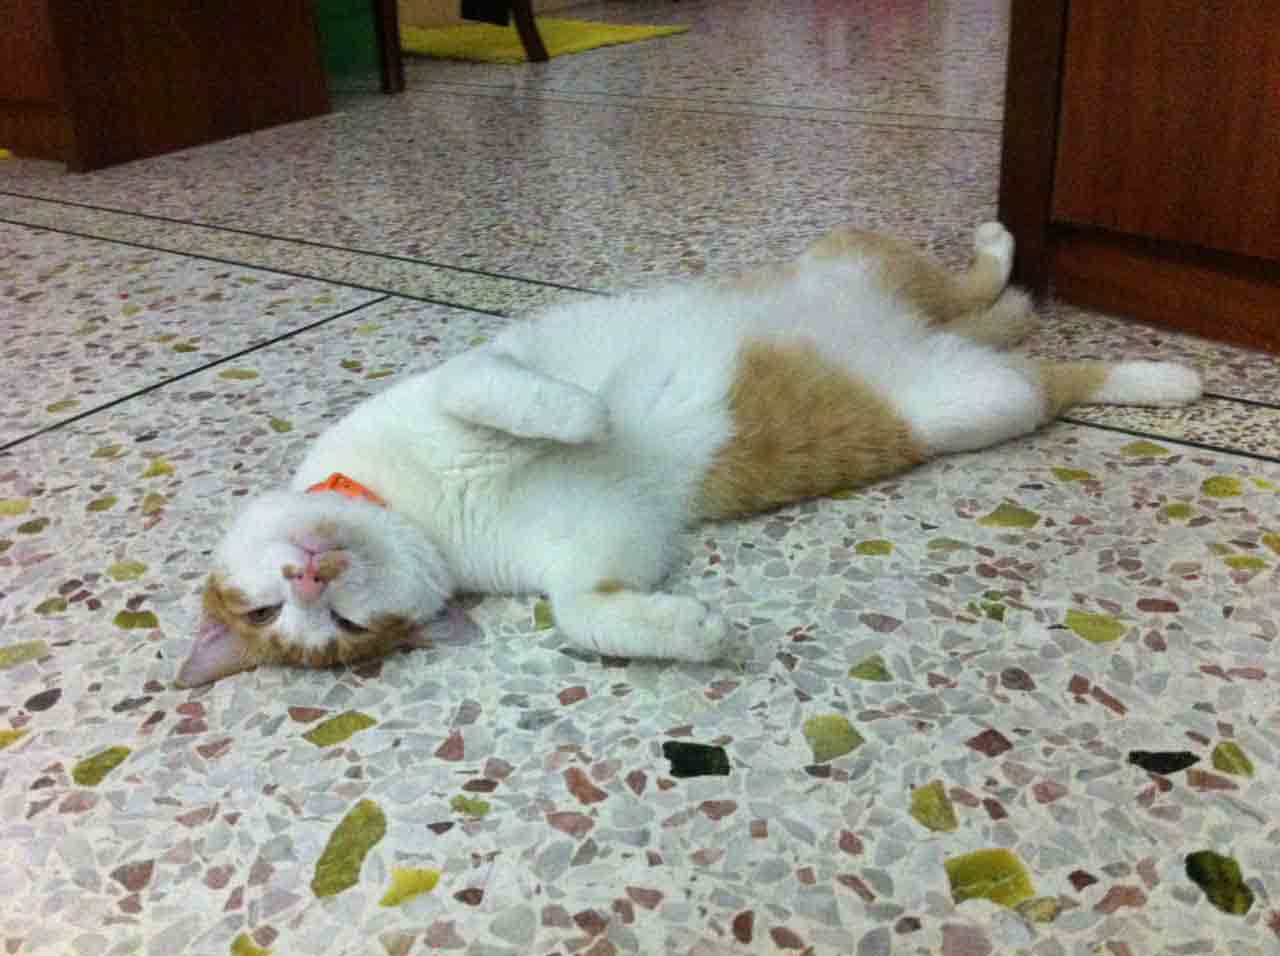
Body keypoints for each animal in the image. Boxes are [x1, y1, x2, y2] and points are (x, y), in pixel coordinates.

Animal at [176, 222, 1202, 686]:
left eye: (265, 605)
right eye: (315, 628)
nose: (311, 579)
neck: (426, 509)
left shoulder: (456, 380)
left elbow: (500, 392)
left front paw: (584, 416)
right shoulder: (602, 546)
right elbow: (584, 612)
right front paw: (692, 631)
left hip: (876, 279)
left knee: (979, 290)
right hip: (972, 397)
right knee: (1036, 356)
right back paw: (1146, 374)